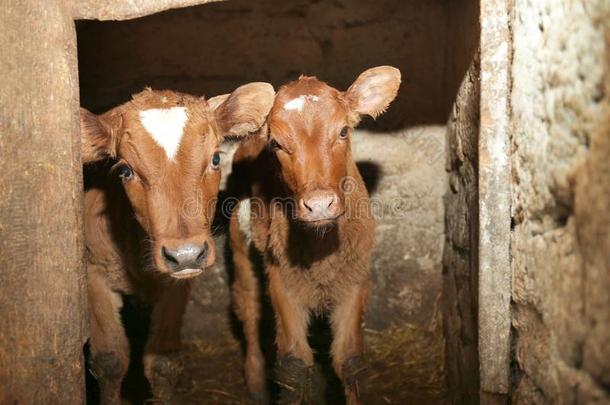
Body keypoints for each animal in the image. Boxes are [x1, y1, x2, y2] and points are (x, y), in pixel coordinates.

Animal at [80, 83, 274, 402]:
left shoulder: (177, 284)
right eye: (125, 170)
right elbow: (110, 361)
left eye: (216, 159)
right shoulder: (93, 272)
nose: (185, 254)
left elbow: (163, 364)